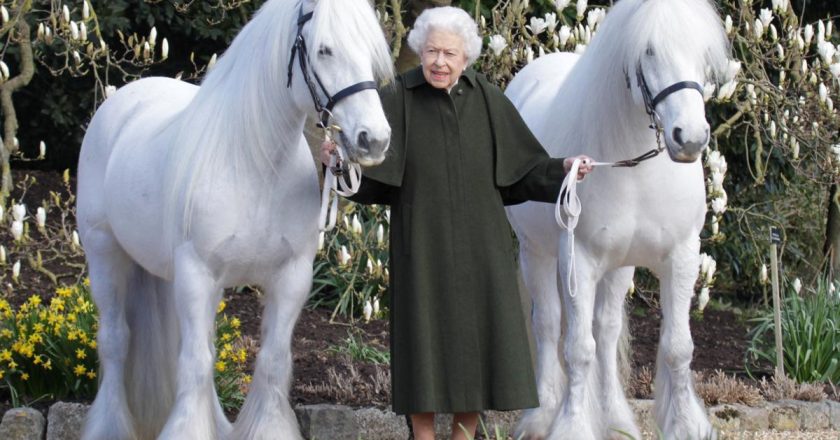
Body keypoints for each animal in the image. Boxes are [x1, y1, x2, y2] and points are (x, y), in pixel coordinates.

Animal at [77, 0, 392, 438]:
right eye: (325, 49)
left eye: (370, 50)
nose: (374, 140)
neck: (254, 163)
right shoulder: (197, 273)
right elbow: (195, 363)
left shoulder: (291, 277)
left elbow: (270, 361)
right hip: (104, 253)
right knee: (115, 340)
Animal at [506, 0, 728, 440]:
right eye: (649, 50)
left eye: (701, 50)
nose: (691, 138)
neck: (635, 168)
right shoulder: (579, 259)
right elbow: (577, 350)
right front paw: (572, 426)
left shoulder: (681, 256)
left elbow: (677, 347)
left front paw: (686, 425)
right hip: (536, 253)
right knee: (548, 325)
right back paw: (541, 417)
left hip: (619, 266)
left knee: (606, 332)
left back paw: (615, 420)